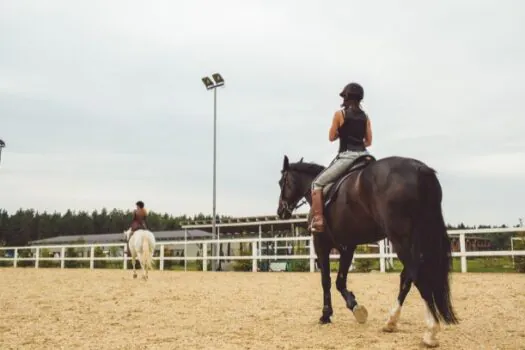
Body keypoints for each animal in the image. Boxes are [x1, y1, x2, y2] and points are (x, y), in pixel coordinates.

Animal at [276, 154, 456, 346]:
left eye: (282, 182)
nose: (280, 211)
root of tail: (420, 169)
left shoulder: (321, 244)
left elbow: (326, 281)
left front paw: (326, 315)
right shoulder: (348, 247)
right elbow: (340, 282)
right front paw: (356, 308)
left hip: (402, 240)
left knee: (416, 276)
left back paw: (430, 331)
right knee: (407, 278)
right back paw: (391, 322)